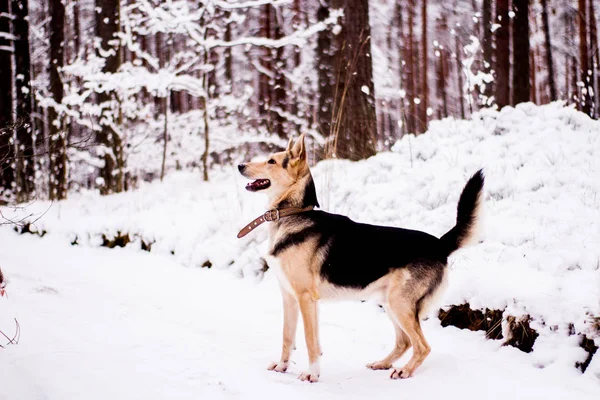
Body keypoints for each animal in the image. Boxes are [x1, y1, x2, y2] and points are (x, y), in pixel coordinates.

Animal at [237, 134, 486, 382]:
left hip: (400, 303)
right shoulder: (290, 297)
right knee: (404, 342)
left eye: (271, 161)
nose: (240, 166)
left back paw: (404, 370)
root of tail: (440, 245)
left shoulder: (305, 298)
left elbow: (309, 340)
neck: (295, 213)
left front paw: (312, 374)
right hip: (390, 303)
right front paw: (282, 366)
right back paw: (383, 363)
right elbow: (288, 337)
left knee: (422, 346)